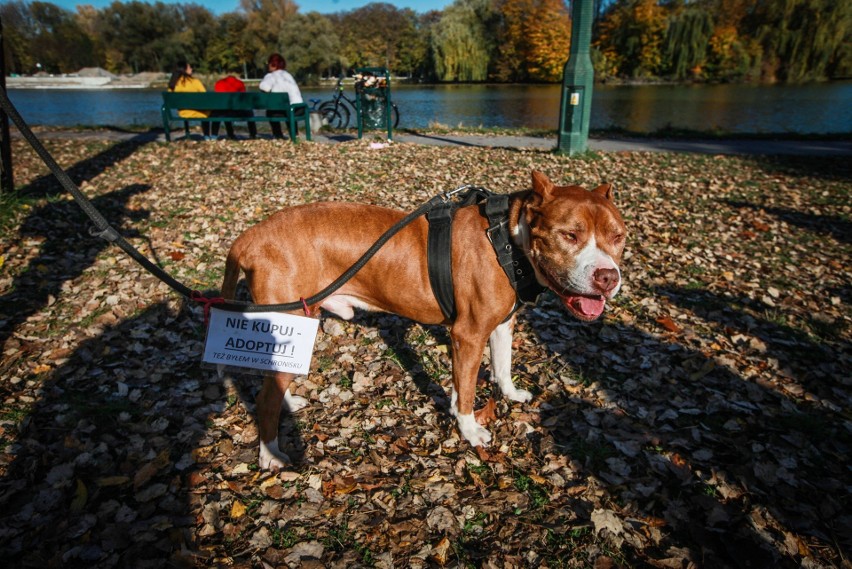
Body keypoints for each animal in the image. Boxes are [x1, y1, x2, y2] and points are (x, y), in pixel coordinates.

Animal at [223, 171, 624, 468]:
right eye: (569, 235)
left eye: (618, 236)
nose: (608, 277)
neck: (509, 239)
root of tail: (250, 236)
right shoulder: (468, 334)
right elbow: (468, 390)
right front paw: (470, 431)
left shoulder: (500, 326)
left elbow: (499, 366)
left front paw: (507, 394)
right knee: (265, 398)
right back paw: (271, 453)